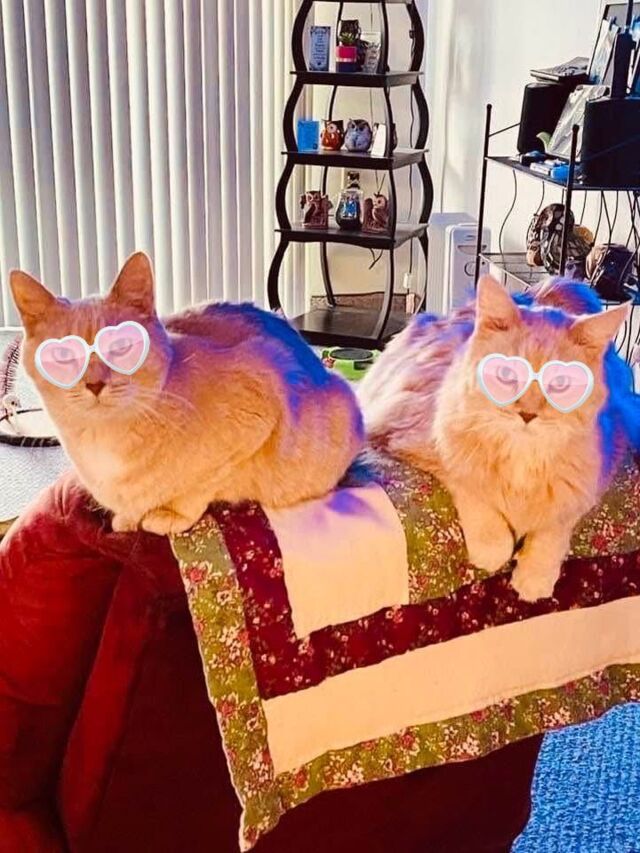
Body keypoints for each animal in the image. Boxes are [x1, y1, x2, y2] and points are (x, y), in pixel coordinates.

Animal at [10, 252, 364, 535]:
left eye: (121, 346)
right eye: (63, 355)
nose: (95, 384)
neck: (103, 442)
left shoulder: (259, 409)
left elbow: (198, 488)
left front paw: (167, 513)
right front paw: (127, 518)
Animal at [357, 274, 637, 602]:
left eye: (560, 383)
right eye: (506, 373)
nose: (527, 415)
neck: (522, 457)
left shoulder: (594, 474)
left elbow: (555, 525)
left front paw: (535, 575)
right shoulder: (413, 438)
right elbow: (473, 491)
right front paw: (494, 548)